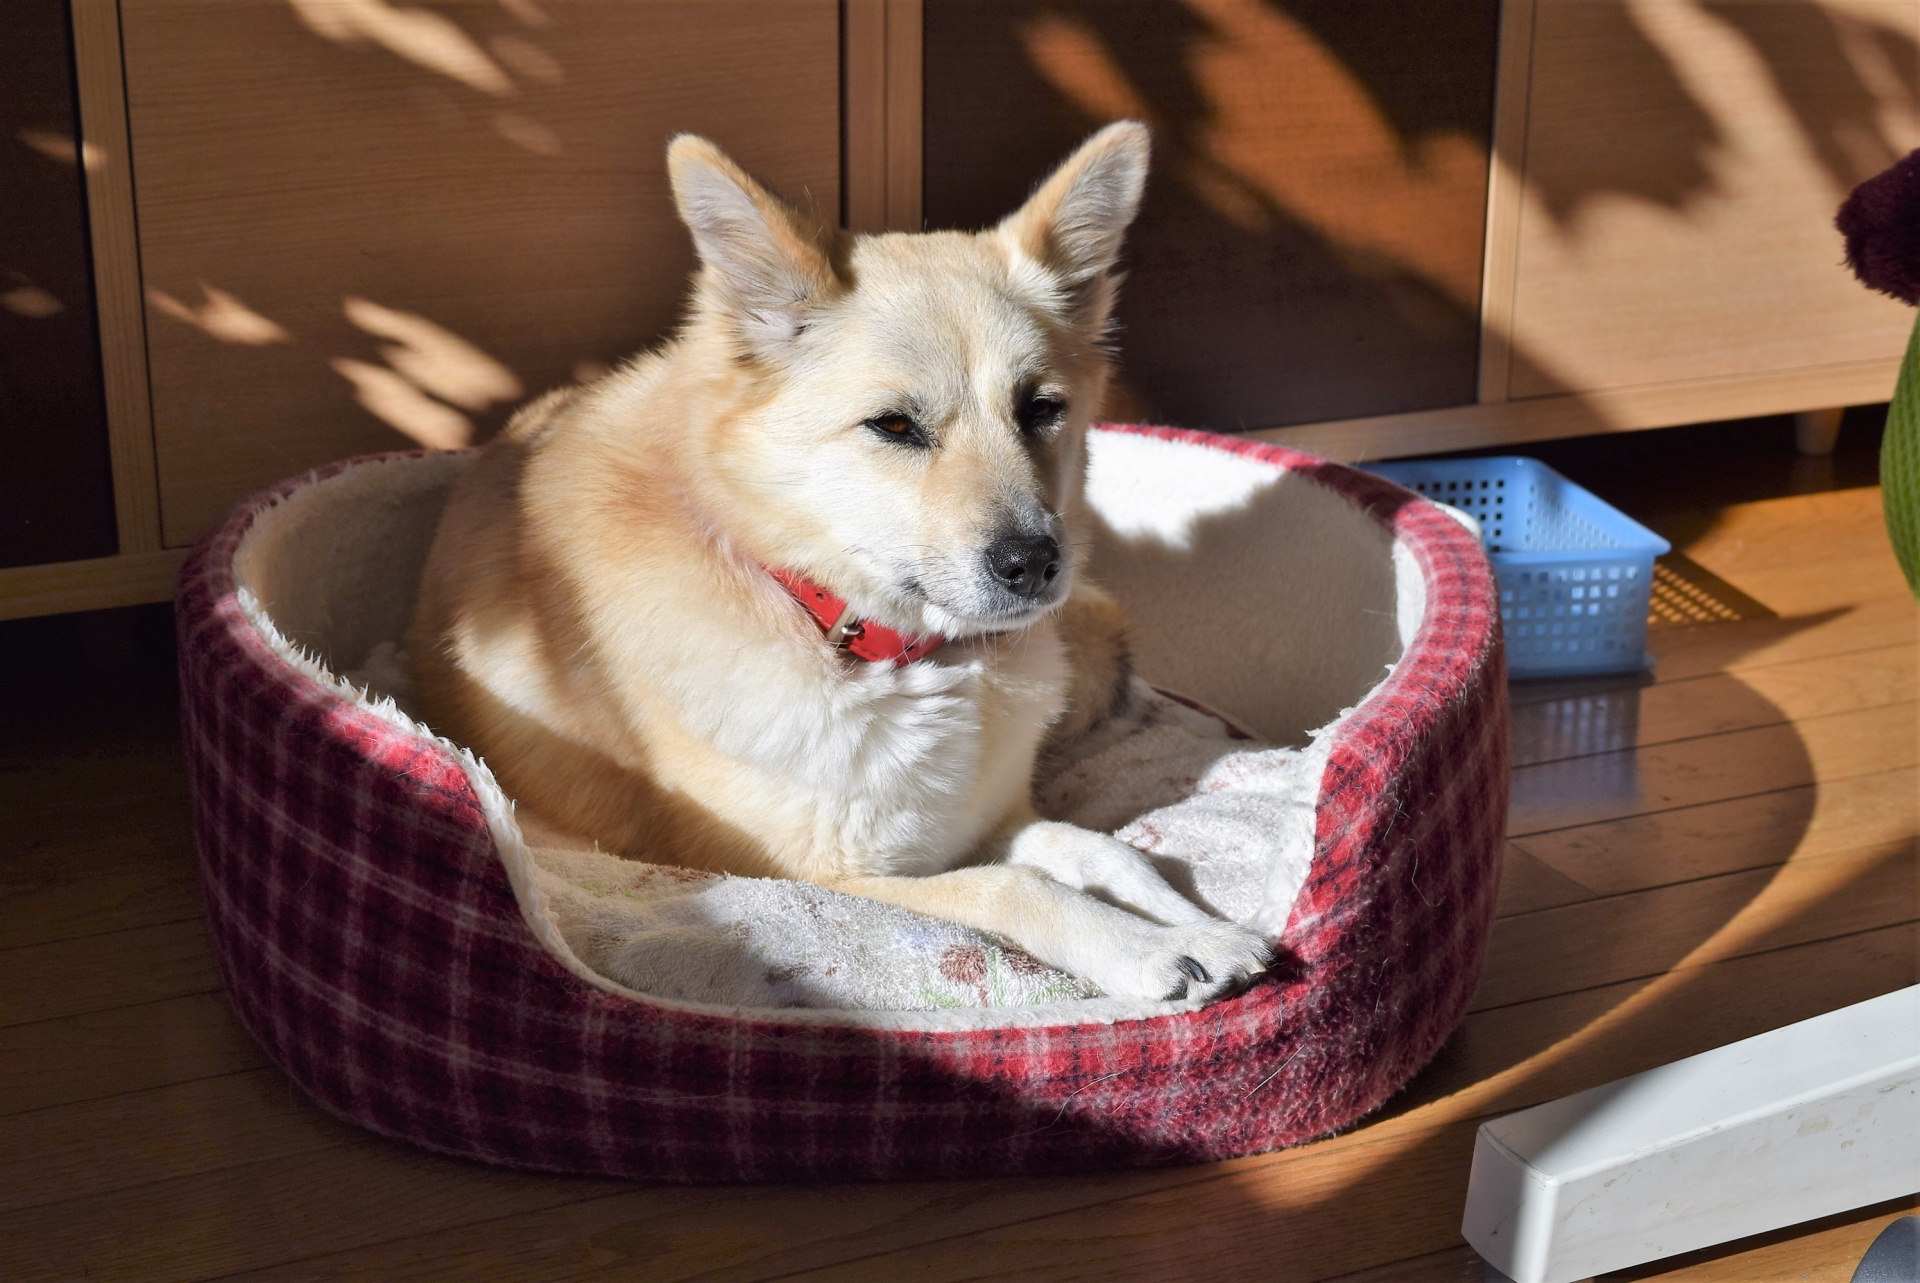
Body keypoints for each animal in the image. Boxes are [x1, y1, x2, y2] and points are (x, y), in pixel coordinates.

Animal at [408, 122, 1274, 998]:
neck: (877, 648)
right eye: (893, 426)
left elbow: (1099, 849)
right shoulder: (826, 875)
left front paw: (1193, 919)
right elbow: (1015, 886)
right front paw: (1146, 949)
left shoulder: (993, 819)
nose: (1034, 563)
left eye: (1042, 409)